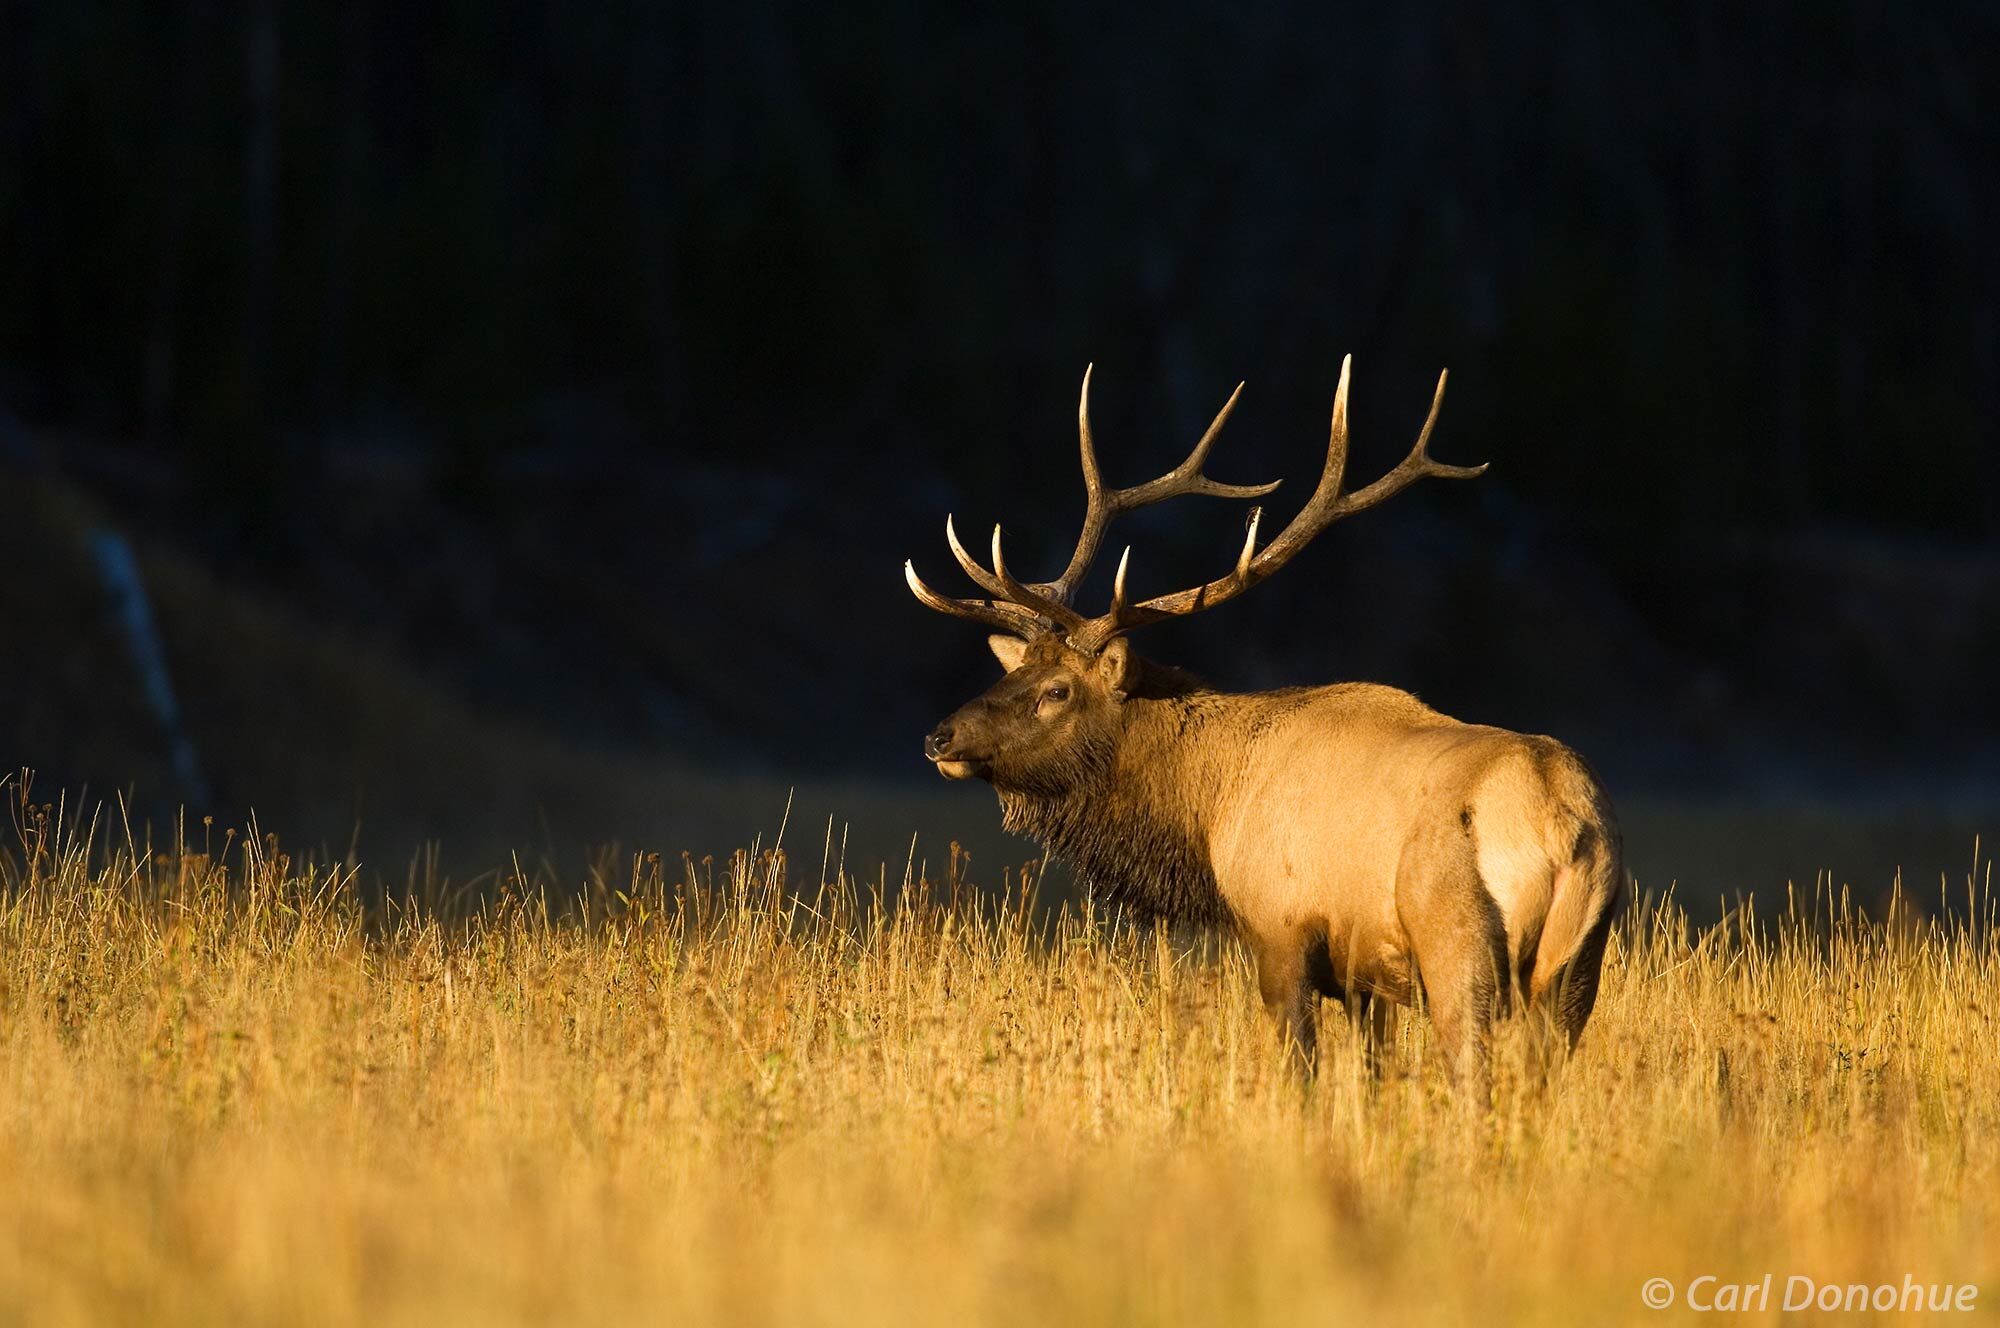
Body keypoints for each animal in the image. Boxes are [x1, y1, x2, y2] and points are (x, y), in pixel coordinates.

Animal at [908, 356, 1624, 1088]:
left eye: (1057, 690)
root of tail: (1561, 822)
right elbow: (1370, 1076)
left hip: (1458, 941)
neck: (1209, 807)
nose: (939, 737)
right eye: (1013, 671)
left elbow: (1302, 1071)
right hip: (1577, 969)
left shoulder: (1280, 930)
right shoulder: (1365, 977)